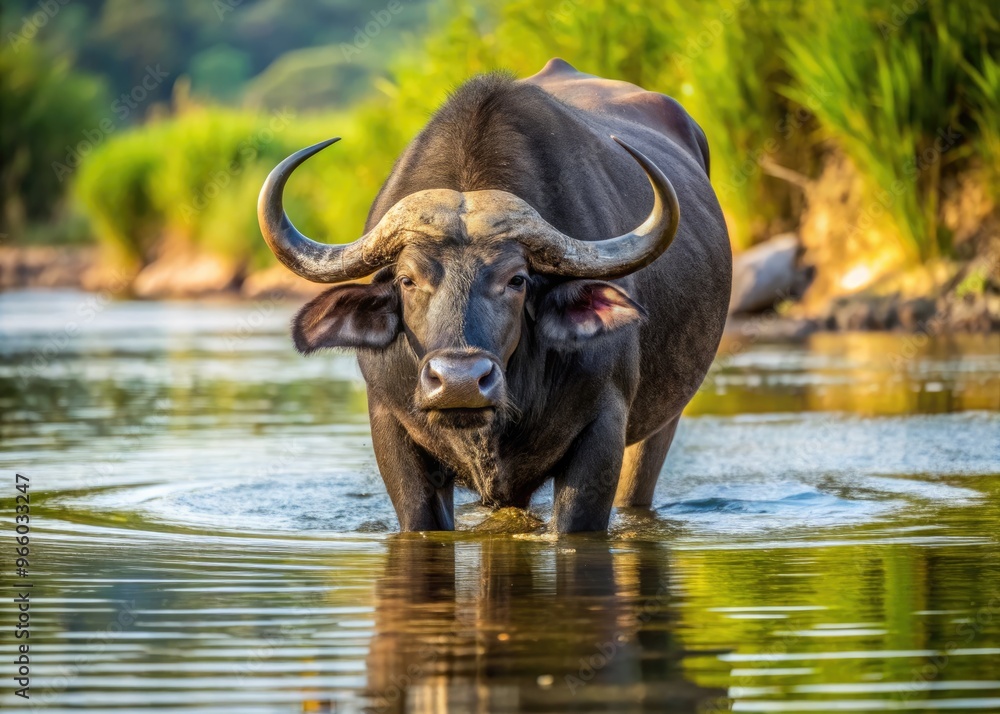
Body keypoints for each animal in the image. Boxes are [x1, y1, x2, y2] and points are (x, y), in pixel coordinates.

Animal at [258, 59, 731, 532]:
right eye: (408, 280)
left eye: (517, 280)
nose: (459, 382)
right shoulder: (392, 429)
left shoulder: (603, 429)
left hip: (662, 424)